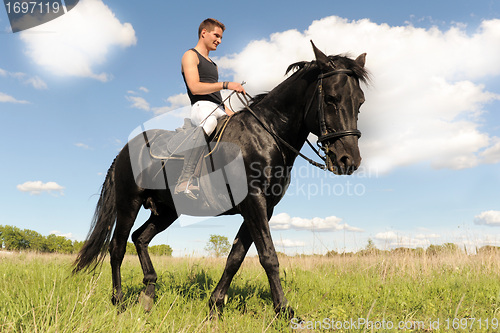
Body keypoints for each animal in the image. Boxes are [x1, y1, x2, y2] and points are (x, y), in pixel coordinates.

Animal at [75, 41, 372, 316]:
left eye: (360, 102)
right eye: (331, 98)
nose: (349, 160)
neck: (267, 134)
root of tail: (124, 151)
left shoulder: (263, 207)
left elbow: (235, 257)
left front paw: (215, 305)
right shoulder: (254, 202)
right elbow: (268, 256)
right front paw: (284, 311)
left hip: (166, 211)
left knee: (140, 238)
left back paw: (148, 293)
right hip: (129, 203)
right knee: (117, 248)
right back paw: (119, 301)